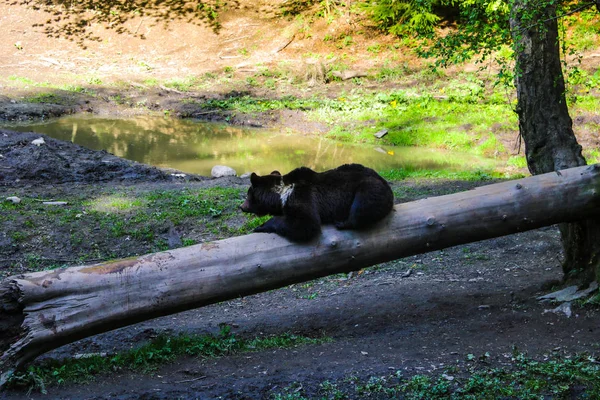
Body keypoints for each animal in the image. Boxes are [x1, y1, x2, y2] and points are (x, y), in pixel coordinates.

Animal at [239, 164, 394, 242]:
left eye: (248, 194)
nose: (241, 207)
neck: (281, 195)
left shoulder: (301, 195)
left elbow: (305, 224)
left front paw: (261, 226)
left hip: (369, 187)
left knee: (361, 206)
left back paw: (342, 222)